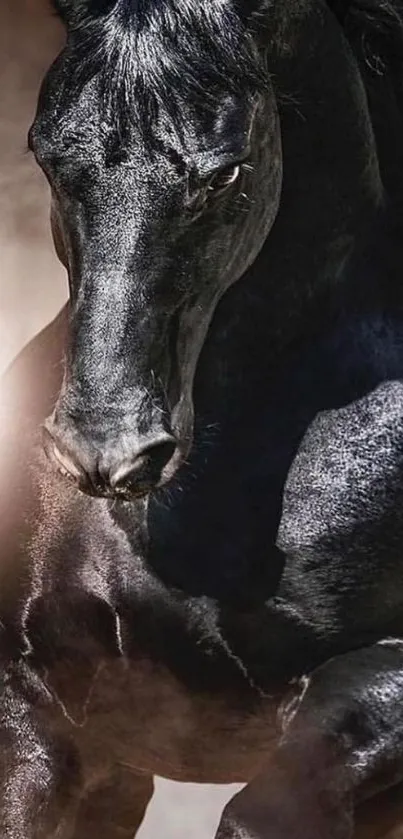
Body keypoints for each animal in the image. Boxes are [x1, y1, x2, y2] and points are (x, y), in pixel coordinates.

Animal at [2, 0, 403, 836]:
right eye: (47, 153)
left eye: (227, 173)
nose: (106, 450)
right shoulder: (36, 713)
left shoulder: (370, 693)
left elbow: (257, 813)